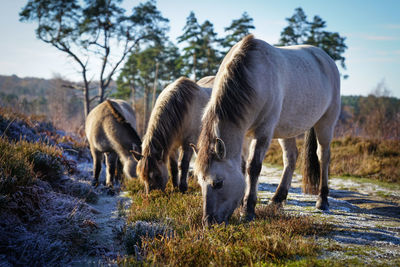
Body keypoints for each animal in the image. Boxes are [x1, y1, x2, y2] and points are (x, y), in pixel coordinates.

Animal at [194, 34, 340, 225]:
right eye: (199, 182)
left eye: (218, 183)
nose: (208, 222)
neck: (252, 75)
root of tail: (326, 58)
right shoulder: (244, 134)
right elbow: (242, 167)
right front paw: (241, 205)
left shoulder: (263, 131)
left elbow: (253, 167)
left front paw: (248, 210)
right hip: (287, 129)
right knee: (290, 158)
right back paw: (277, 199)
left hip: (326, 123)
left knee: (323, 157)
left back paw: (322, 200)